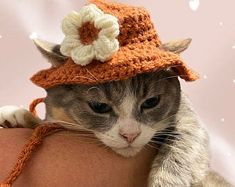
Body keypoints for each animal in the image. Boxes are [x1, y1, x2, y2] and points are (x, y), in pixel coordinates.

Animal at [0, 38, 231, 186]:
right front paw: (16, 115)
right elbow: (47, 122)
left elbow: (187, 140)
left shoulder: (188, 117)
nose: (130, 134)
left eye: (152, 102)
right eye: (99, 106)